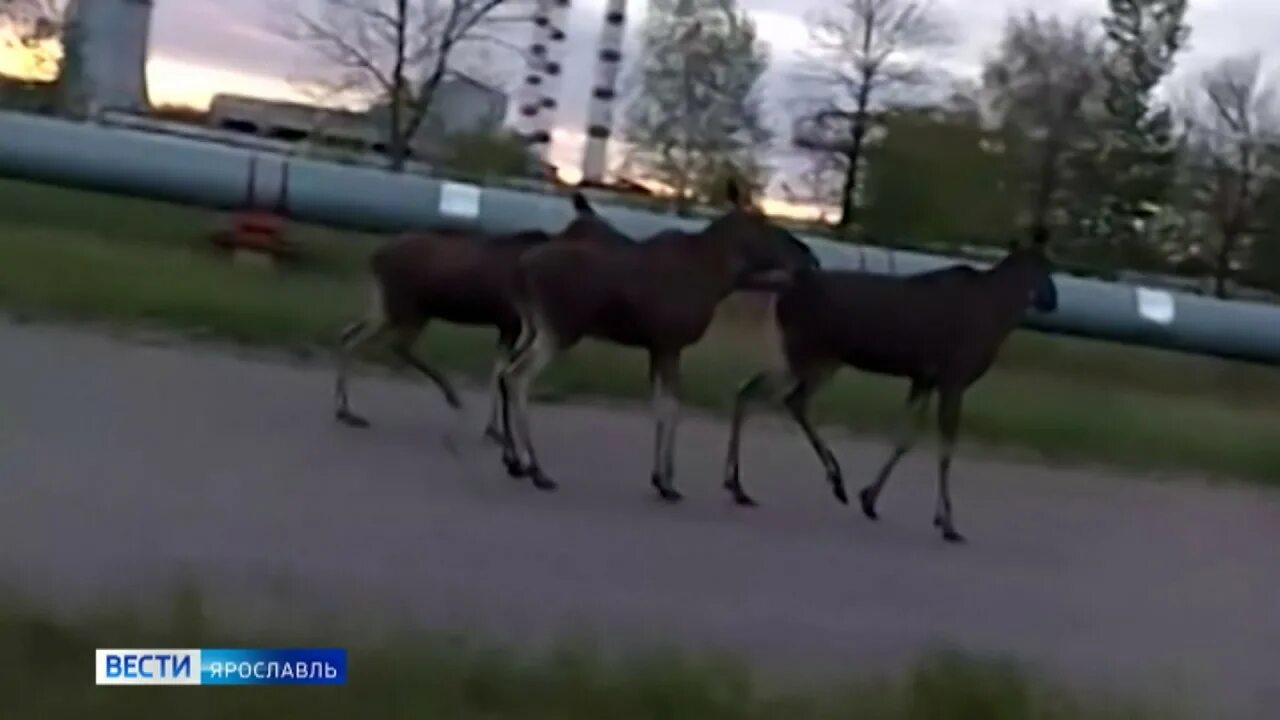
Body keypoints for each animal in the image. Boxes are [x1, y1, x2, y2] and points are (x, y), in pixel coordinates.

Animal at [335, 190, 634, 435]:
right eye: (607, 228)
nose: (628, 245)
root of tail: (374, 256)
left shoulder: (509, 325)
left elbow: (499, 370)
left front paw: (494, 428)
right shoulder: (513, 323)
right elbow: (503, 372)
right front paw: (498, 430)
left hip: (394, 307)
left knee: (352, 335)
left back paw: (344, 408)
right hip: (405, 308)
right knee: (383, 342)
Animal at [494, 179, 814, 499]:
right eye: (762, 220)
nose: (808, 254)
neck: (718, 279)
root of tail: (521, 269)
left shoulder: (657, 347)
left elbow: (660, 405)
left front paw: (659, 478)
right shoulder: (671, 344)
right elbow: (672, 406)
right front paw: (668, 482)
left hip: (530, 326)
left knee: (503, 371)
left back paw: (514, 461)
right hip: (559, 331)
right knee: (517, 376)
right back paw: (536, 469)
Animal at [721, 230, 1059, 543]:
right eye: (1047, 268)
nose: (1053, 300)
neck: (1000, 315)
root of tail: (784, 291)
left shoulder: (924, 380)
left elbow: (904, 439)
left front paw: (870, 498)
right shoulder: (953, 379)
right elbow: (945, 450)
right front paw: (948, 524)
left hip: (820, 359)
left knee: (774, 396)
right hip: (807, 353)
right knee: (763, 394)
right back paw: (747, 485)